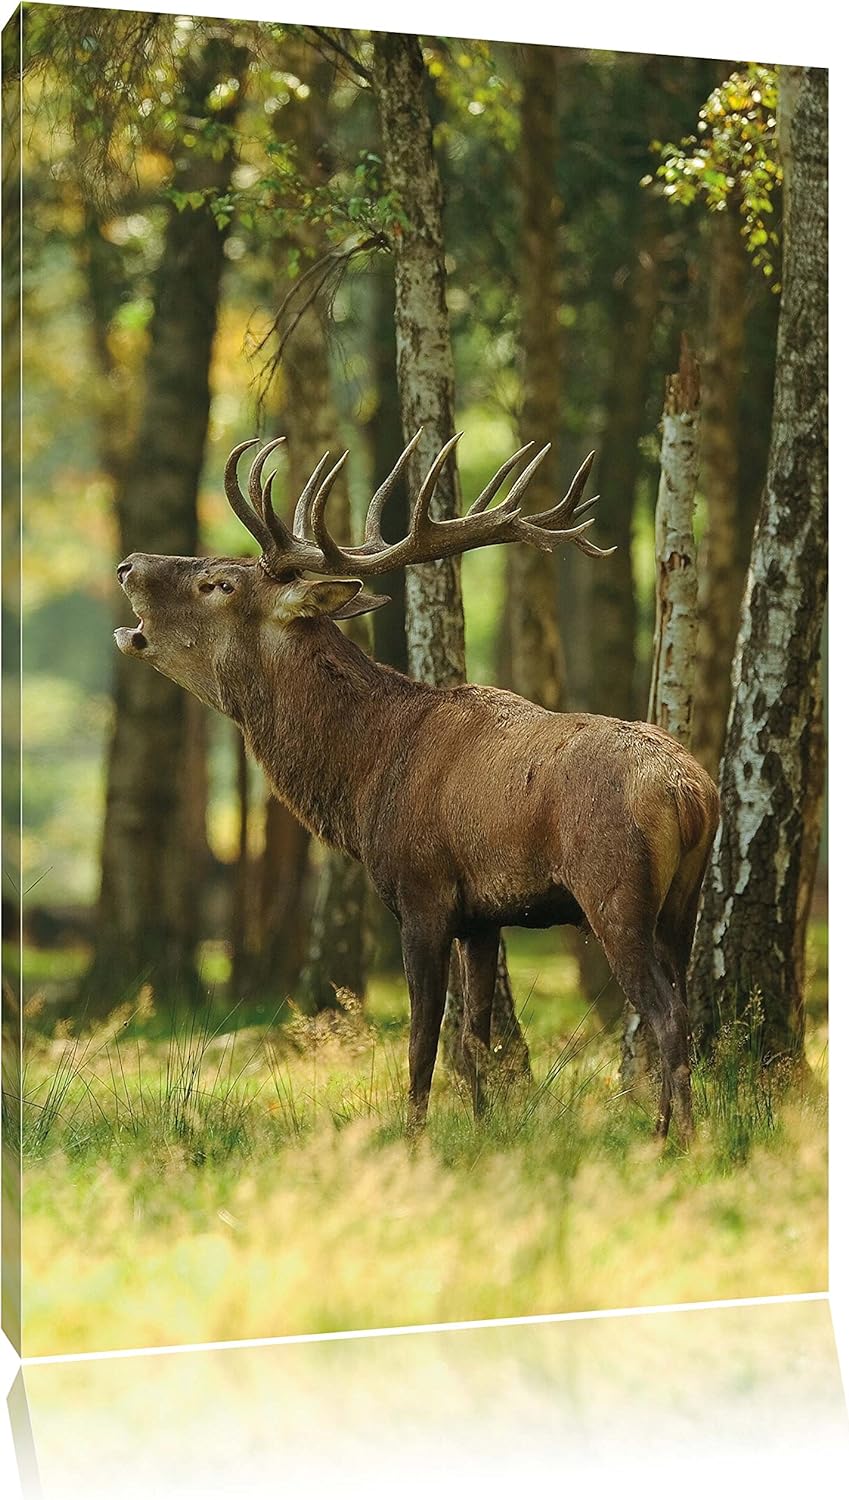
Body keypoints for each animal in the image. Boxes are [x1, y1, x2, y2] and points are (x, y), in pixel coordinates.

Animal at [115, 431, 719, 1141]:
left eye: (220, 582)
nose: (128, 564)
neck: (366, 777)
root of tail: (690, 794)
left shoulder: (421, 891)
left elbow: (423, 1038)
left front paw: (414, 1136)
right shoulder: (485, 916)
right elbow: (476, 1037)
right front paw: (483, 1128)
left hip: (615, 891)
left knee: (666, 1013)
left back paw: (673, 1139)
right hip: (683, 901)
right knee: (684, 1004)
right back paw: (676, 1129)